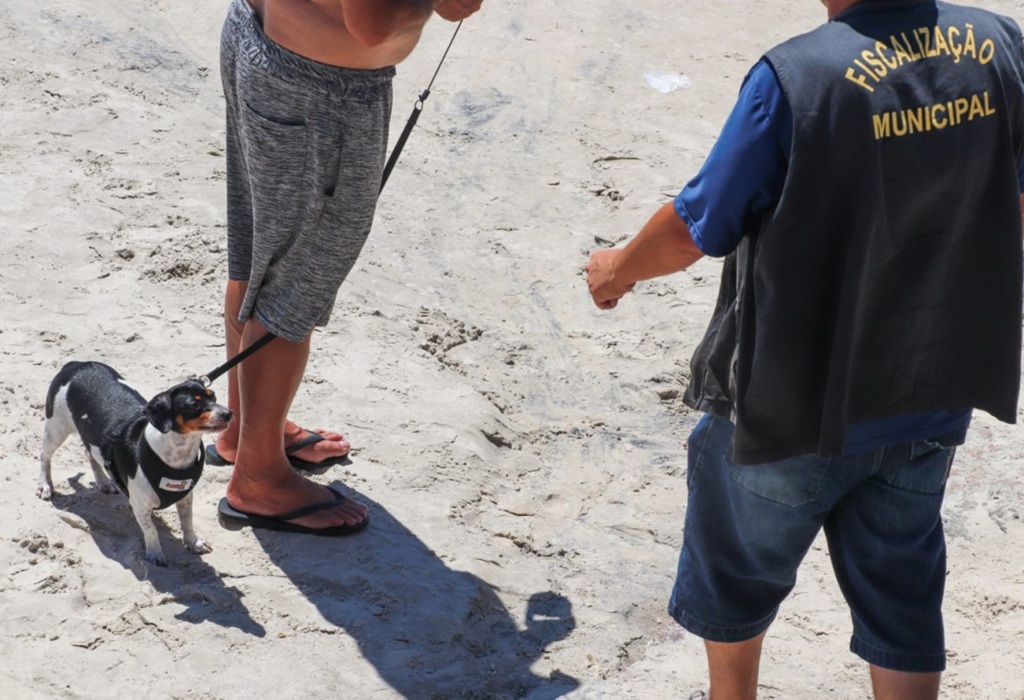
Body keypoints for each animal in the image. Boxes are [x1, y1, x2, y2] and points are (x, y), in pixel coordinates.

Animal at [37, 364, 232, 564]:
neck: (175, 453)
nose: (228, 414)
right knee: (44, 455)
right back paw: (45, 485)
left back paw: (103, 482)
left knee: (90, 454)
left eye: (213, 397)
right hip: (55, 429)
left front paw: (193, 542)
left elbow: (187, 522)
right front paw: (155, 554)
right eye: (194, 405)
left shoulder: (185, 497)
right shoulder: (140, 505)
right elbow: (151, 530)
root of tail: (75, 364)